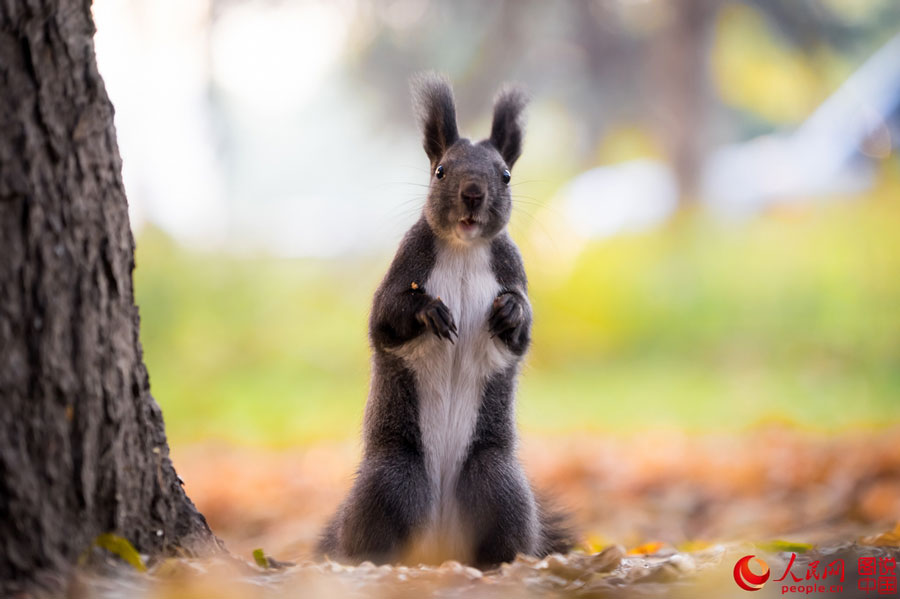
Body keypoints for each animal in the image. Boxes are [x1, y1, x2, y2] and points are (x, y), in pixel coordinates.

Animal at [316, 72, 572, 568]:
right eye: (440, 171)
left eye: (506, 175)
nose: (473, 194)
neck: (464, 247)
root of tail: (438, 548)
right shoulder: (405, 266)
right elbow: (384, 318)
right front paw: (428, 310)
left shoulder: (512, 271)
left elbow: (523, 332)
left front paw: (511, 312)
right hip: (393, 477)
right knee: (375, 530)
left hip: (497, 481)